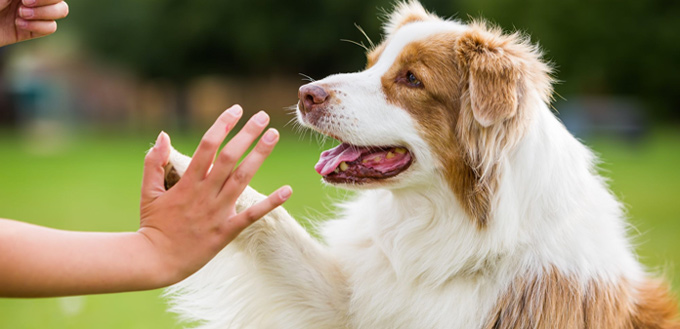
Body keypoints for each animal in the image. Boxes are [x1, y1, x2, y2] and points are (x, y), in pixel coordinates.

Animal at [162, 1, 676, 326]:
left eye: (411, 79)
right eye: (371, 63)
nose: (306, 94)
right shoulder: (351, 303)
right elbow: (276, 227)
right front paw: (194, 175)